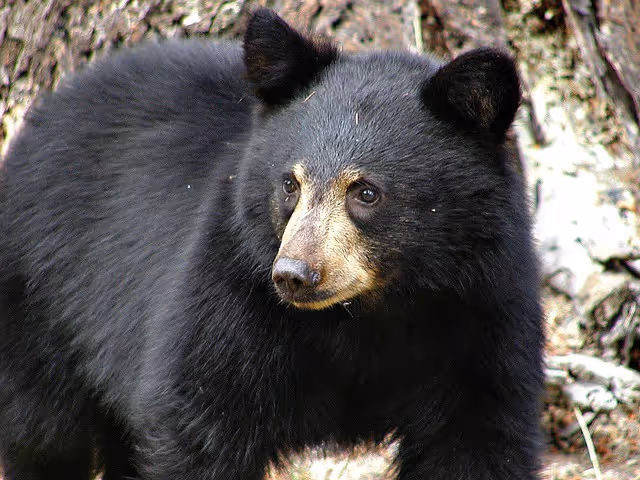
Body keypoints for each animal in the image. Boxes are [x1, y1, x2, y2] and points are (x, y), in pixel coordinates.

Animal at [0, 7, 544, 480]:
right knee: (45, 435)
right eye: (290, 183)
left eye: (366, 192)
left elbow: (480, 439)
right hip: (44, 301)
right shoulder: (231, 296)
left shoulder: (483, 307)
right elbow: (200, 425)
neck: (368, 314)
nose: (294, 275)